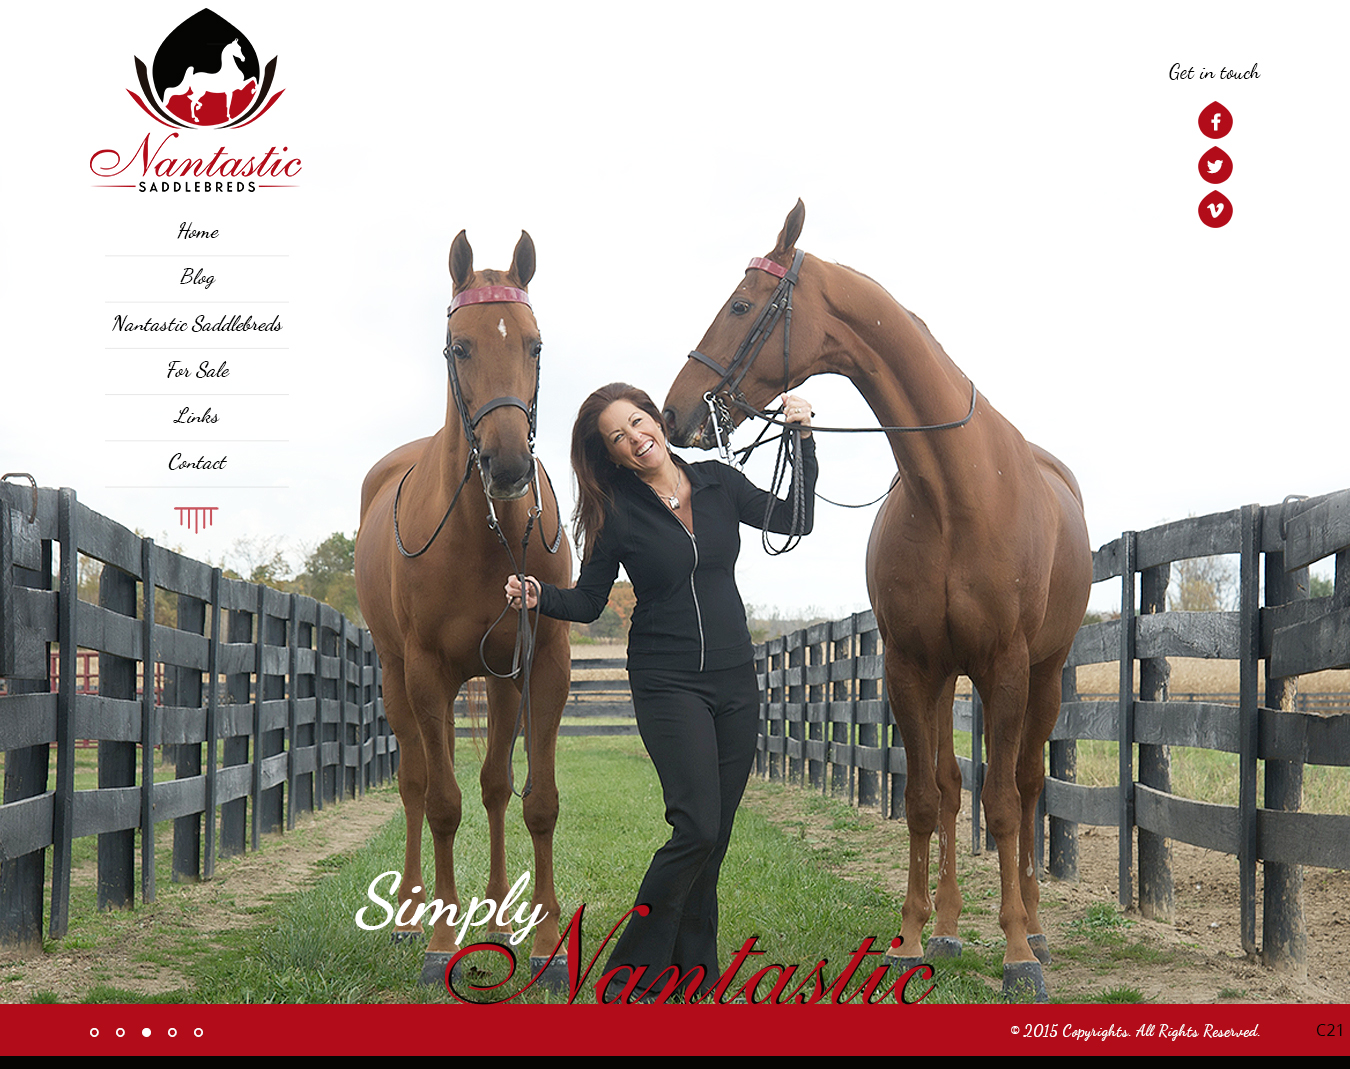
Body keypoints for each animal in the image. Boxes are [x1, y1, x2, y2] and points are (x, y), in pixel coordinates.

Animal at [355, 230, 573, 986]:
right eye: (460, 347)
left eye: (535, 344)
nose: (507, 465)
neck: (486, 533)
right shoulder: (425, 672)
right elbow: (443, 802)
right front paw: (441, 943)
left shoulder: (542, 667)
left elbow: (534, 800)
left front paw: (542, 941)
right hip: (402, 678)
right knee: (418, 784)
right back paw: (414, 914)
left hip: (495, 684)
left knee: (495, 787)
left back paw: (500, 918)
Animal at [661, 201, 1092, 1001]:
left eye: (740, 305)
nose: (675, 413)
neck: (955, 488)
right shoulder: (911, 666)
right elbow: (924, 798)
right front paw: (913, 939)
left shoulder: (1007, 665)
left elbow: (1003, 803)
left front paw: (1018, 954)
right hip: (952, 676)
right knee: (952, 788)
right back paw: (951, 926)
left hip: (1043, 675)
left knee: (1026, 786)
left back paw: (1037, 927)